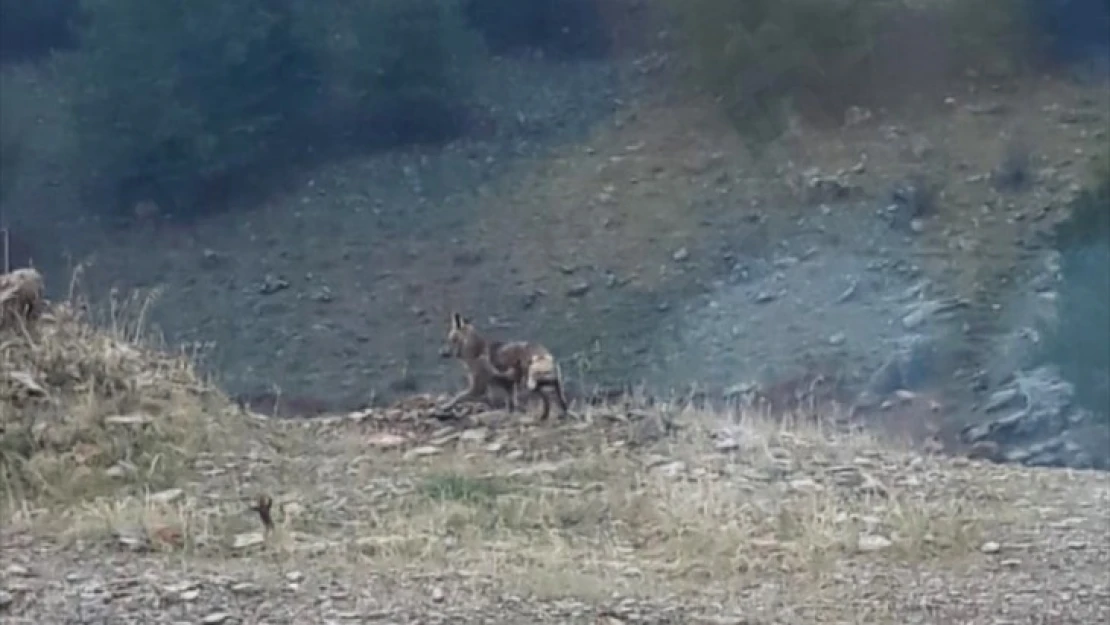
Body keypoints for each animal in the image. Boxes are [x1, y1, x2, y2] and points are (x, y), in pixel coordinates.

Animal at [437, 313, 568, 419]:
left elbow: (458, 397)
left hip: (528, 383)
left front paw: (445, 407)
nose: (441, 353)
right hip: (536, 381)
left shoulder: (479, 387)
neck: (475, 352)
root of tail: (543, 352)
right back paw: (561, 409)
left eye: (450, 339)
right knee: (555, 387)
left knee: (548, 395)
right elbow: (510, 405)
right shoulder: (508, 385)